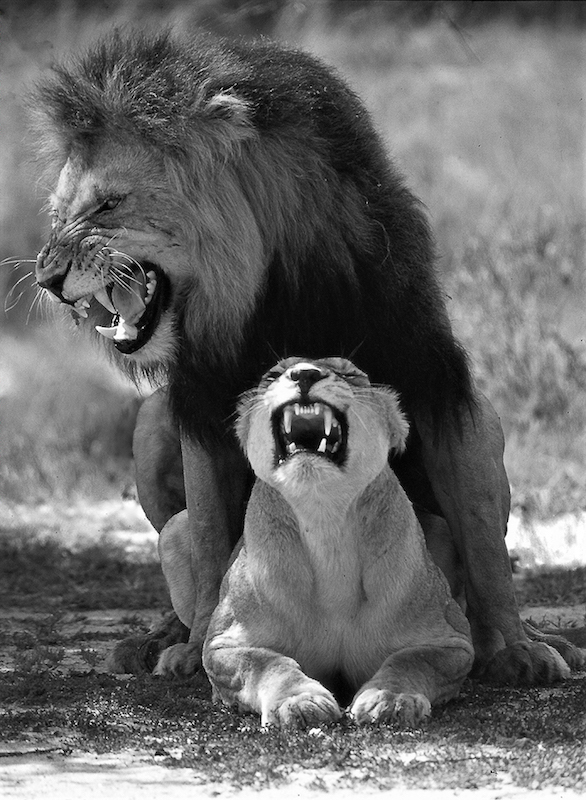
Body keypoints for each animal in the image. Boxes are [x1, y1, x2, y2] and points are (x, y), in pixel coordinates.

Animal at [32, 29, 583, 684]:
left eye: (110, 205)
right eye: (60, 212)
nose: (45, 278)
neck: (263, 290)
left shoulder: (433, 375)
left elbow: (482, 539)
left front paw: (519, 646)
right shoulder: (202, 404)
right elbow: (212, 535)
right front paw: (197, 645)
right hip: (149, 426)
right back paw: (161, 635)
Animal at [158, 357, 476, 728]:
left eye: (350, 374)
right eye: (272, 375)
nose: (305, 374)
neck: (326, 521)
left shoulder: (451, 641)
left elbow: (411, 659)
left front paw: (391, 698)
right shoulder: (225, 645)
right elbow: (268, 664)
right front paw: (298, 701)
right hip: (175, 529)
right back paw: (178, 656)